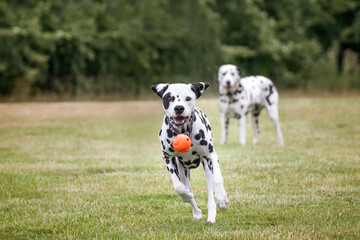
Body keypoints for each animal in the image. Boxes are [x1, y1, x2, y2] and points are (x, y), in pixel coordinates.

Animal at [152, 82, 228, 223]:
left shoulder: (211, 156)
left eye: (188, 98)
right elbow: (179, 187)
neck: (183, 131)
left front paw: (222, 200)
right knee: (186, 186)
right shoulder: (167, 158)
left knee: (211, 192)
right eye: (169, 98)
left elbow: (218, 179)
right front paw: (187, 196)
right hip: (182, 171)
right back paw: (196, 211)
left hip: (207, 167)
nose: (179, 108)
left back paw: (212, 214)